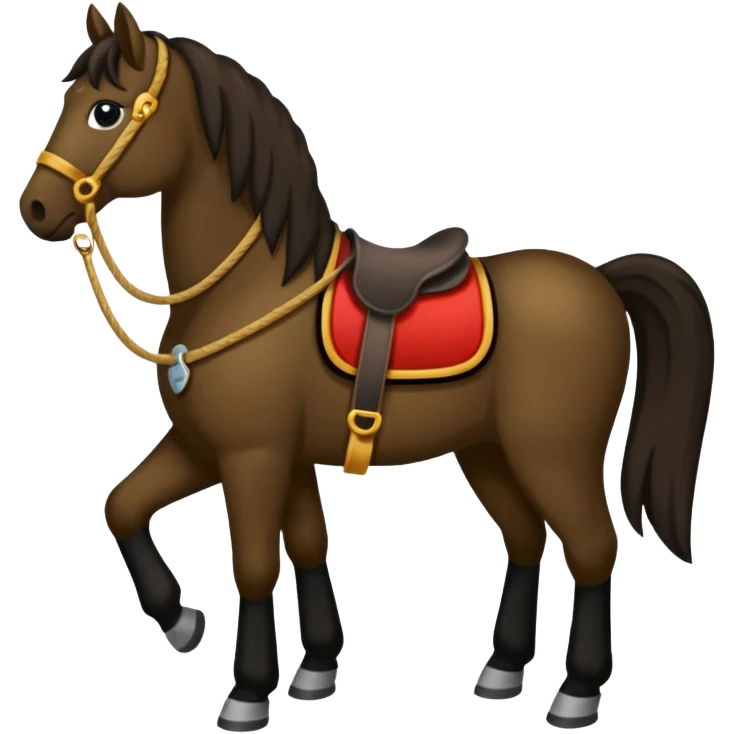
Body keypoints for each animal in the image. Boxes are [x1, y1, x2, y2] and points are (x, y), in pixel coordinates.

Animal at [18, 3, 715, 732]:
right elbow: (152, 512)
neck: (251, 287)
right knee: (527, 540)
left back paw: (577, 691)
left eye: (105, 110)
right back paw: (501, 670)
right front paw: (236, 640)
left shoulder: (249, 454)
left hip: (553, 453)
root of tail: (603, 279)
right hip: (488, 451)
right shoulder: (231, 448)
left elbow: (256, 562)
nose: (35, 207)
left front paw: (247, 693)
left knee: (591, 546)